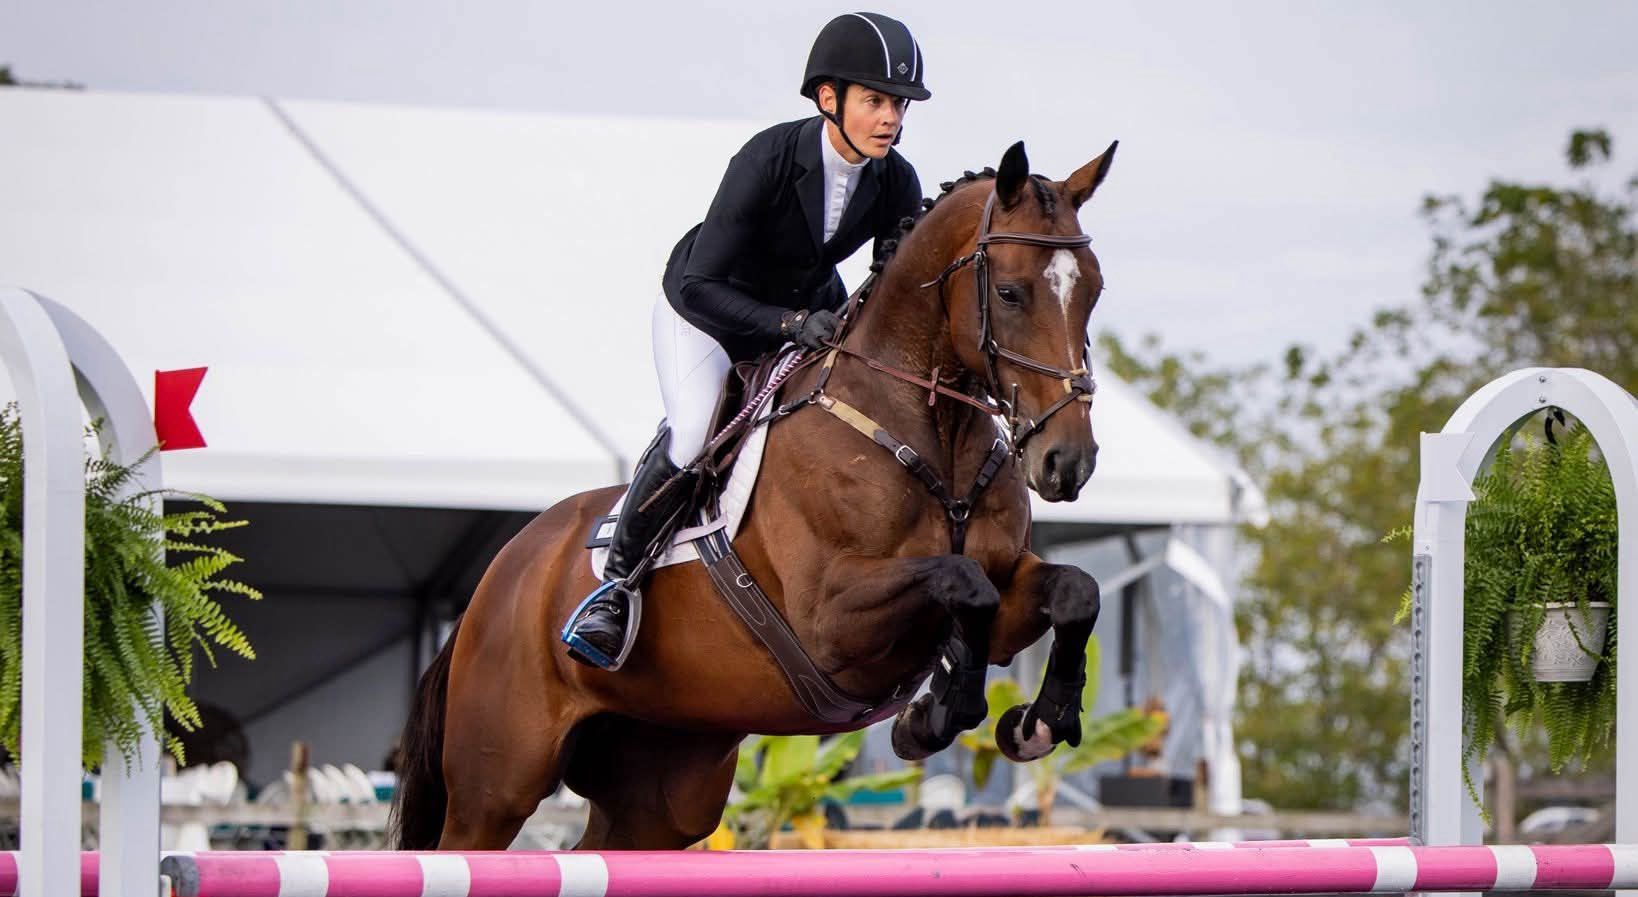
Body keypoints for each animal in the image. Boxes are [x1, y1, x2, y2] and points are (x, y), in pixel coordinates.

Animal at [390, 139, 1118, 851]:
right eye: (1011, 293)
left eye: (1093, 290)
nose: (1067, 462)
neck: (932, 431)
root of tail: (498, 577)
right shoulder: (831, 622)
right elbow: (962, 580)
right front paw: (938, 711)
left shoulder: (1005, 590)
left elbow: (1072, 589)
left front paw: (1039, 719)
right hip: (497, 783)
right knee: (470, 831)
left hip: (664, 783)